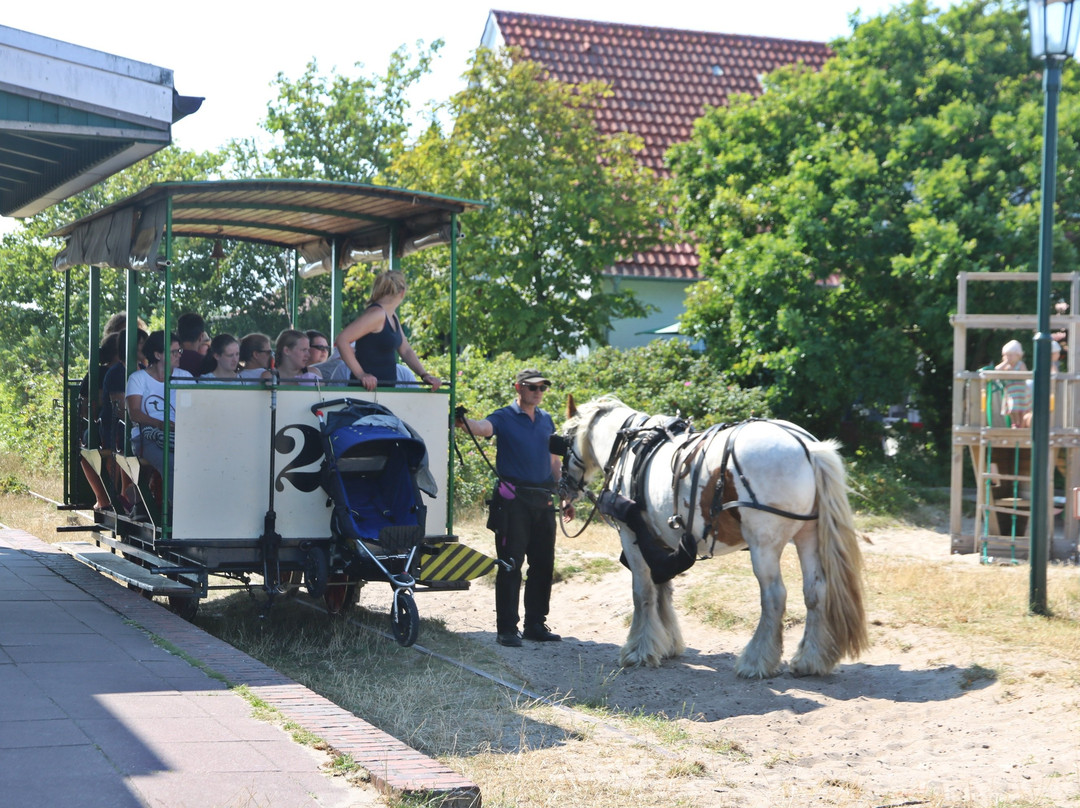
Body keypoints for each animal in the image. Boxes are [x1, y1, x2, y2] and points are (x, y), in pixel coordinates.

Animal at [557, 395, 868, 678]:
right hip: (808, 536)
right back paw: (809, 660)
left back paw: (756, 661)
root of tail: (808, 447)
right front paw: (668, 643)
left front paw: (639, 650)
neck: (632, 448)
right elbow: (663, 591)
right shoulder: (659, 541)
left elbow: (642, 593)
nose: (563, 488)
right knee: (815, 591)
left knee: (774, 596)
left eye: (563, 439)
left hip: (764, 544)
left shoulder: (631, 537)